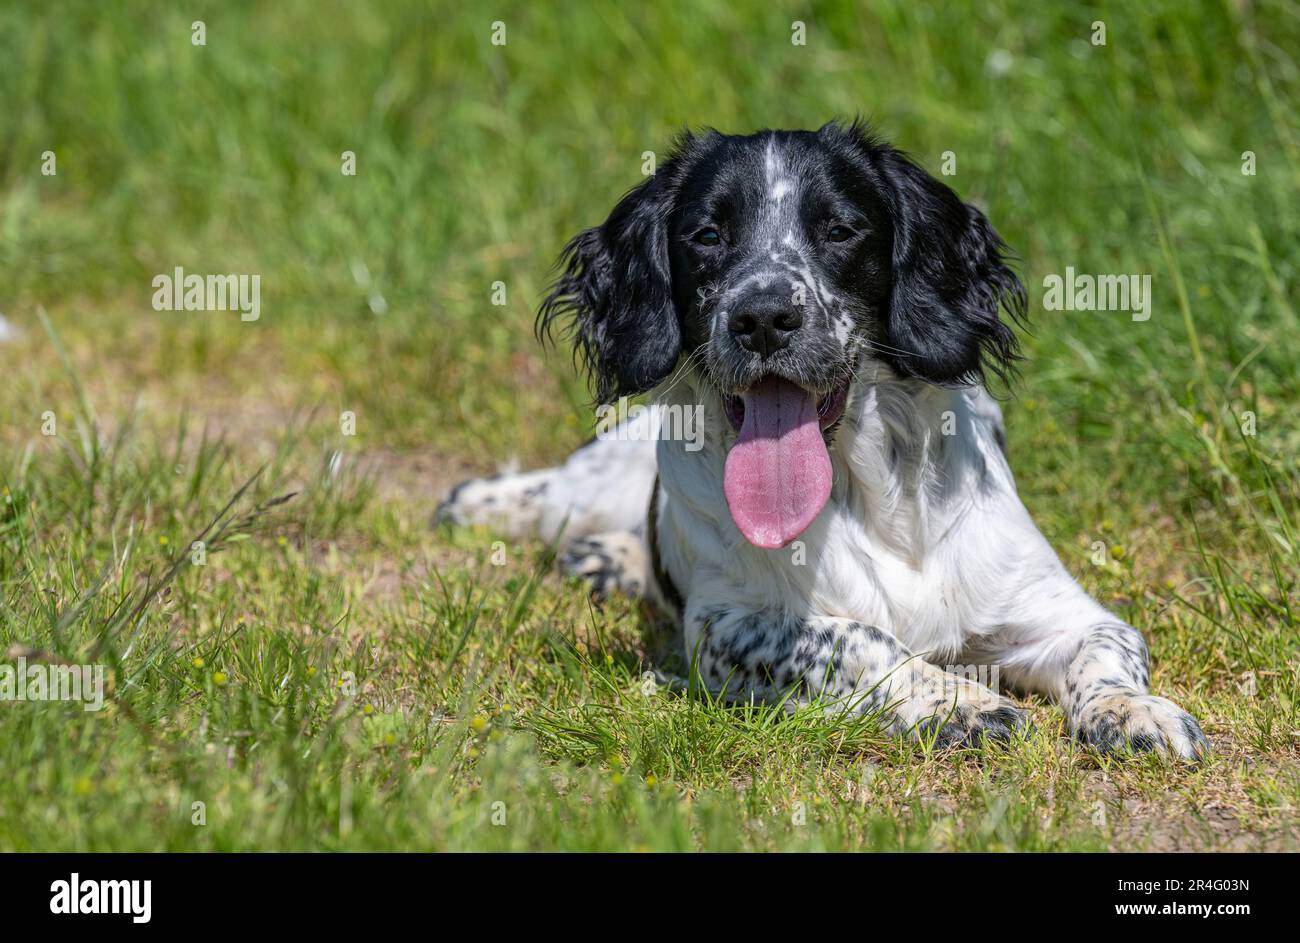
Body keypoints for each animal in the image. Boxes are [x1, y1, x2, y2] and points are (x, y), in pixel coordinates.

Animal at [436, 122, 1206, 759]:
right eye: (707, 235)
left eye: (840, 230)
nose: (763, 316)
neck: (868, 498)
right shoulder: (728, 629)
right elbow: (856, 636)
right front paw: (956, 700)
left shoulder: (1058, 609)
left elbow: (1108, 647)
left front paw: (1134, 711)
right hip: (587, 487)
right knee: (536, 496)